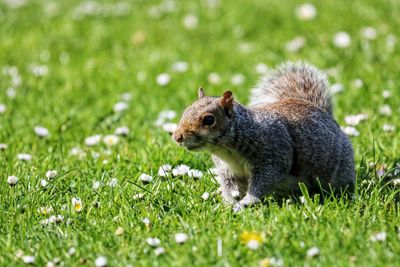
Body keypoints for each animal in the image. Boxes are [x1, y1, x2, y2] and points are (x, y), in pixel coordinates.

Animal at [173, 61, 354, 213]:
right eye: (185, 111)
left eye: (209, 120)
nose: (177, 137)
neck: (227, 150)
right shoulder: (228, 170)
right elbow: (230, 187)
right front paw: (228, 203)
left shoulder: (272, 154)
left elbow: (263, 182)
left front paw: (246, 202)